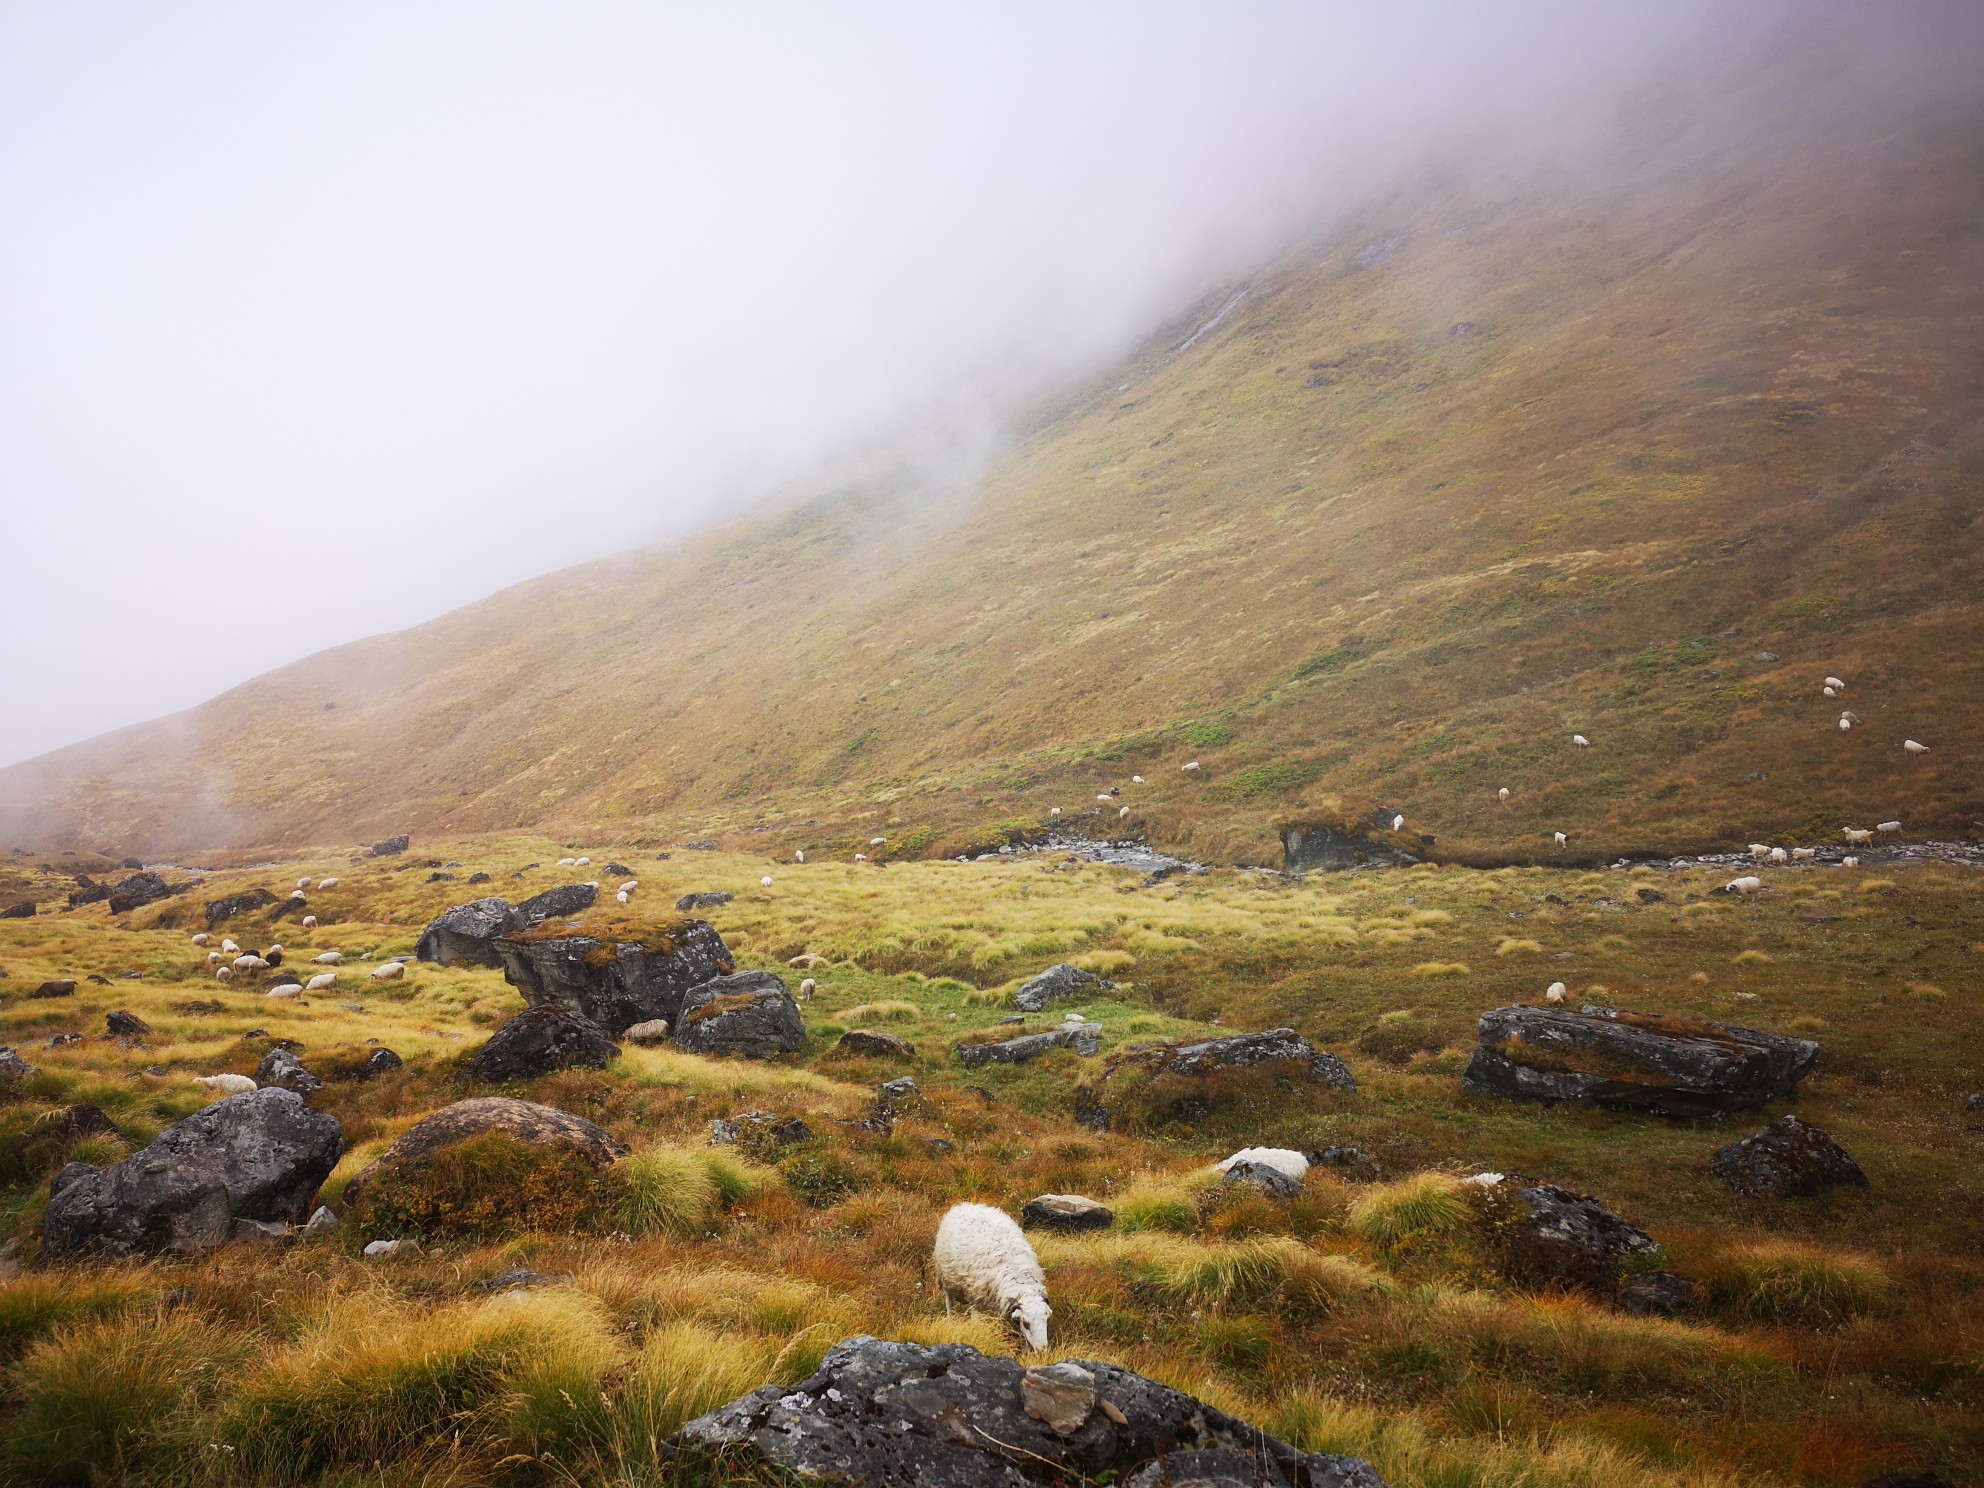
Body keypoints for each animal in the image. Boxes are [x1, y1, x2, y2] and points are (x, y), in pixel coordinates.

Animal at [932, 1206, 1055, 1357]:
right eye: (1026, 1324)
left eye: (1046, 1320)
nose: (1042, 1351)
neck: (1017, 1277)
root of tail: (967, 1205)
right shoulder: (976, 1299)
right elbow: (975, 1322)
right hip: (945, 1279)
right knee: (949, 1303)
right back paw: (950, 1320)